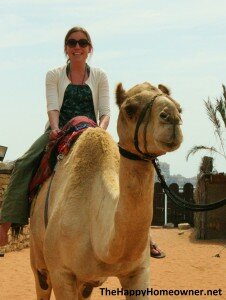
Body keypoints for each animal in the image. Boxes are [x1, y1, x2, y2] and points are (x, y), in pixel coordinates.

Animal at [29, 81, 183, 298]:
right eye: (129, 109)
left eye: (179, 107)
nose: (172, 118)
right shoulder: (61, 272)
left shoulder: (138, 271)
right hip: (39, 260)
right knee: (41, 282)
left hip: (85, 282)